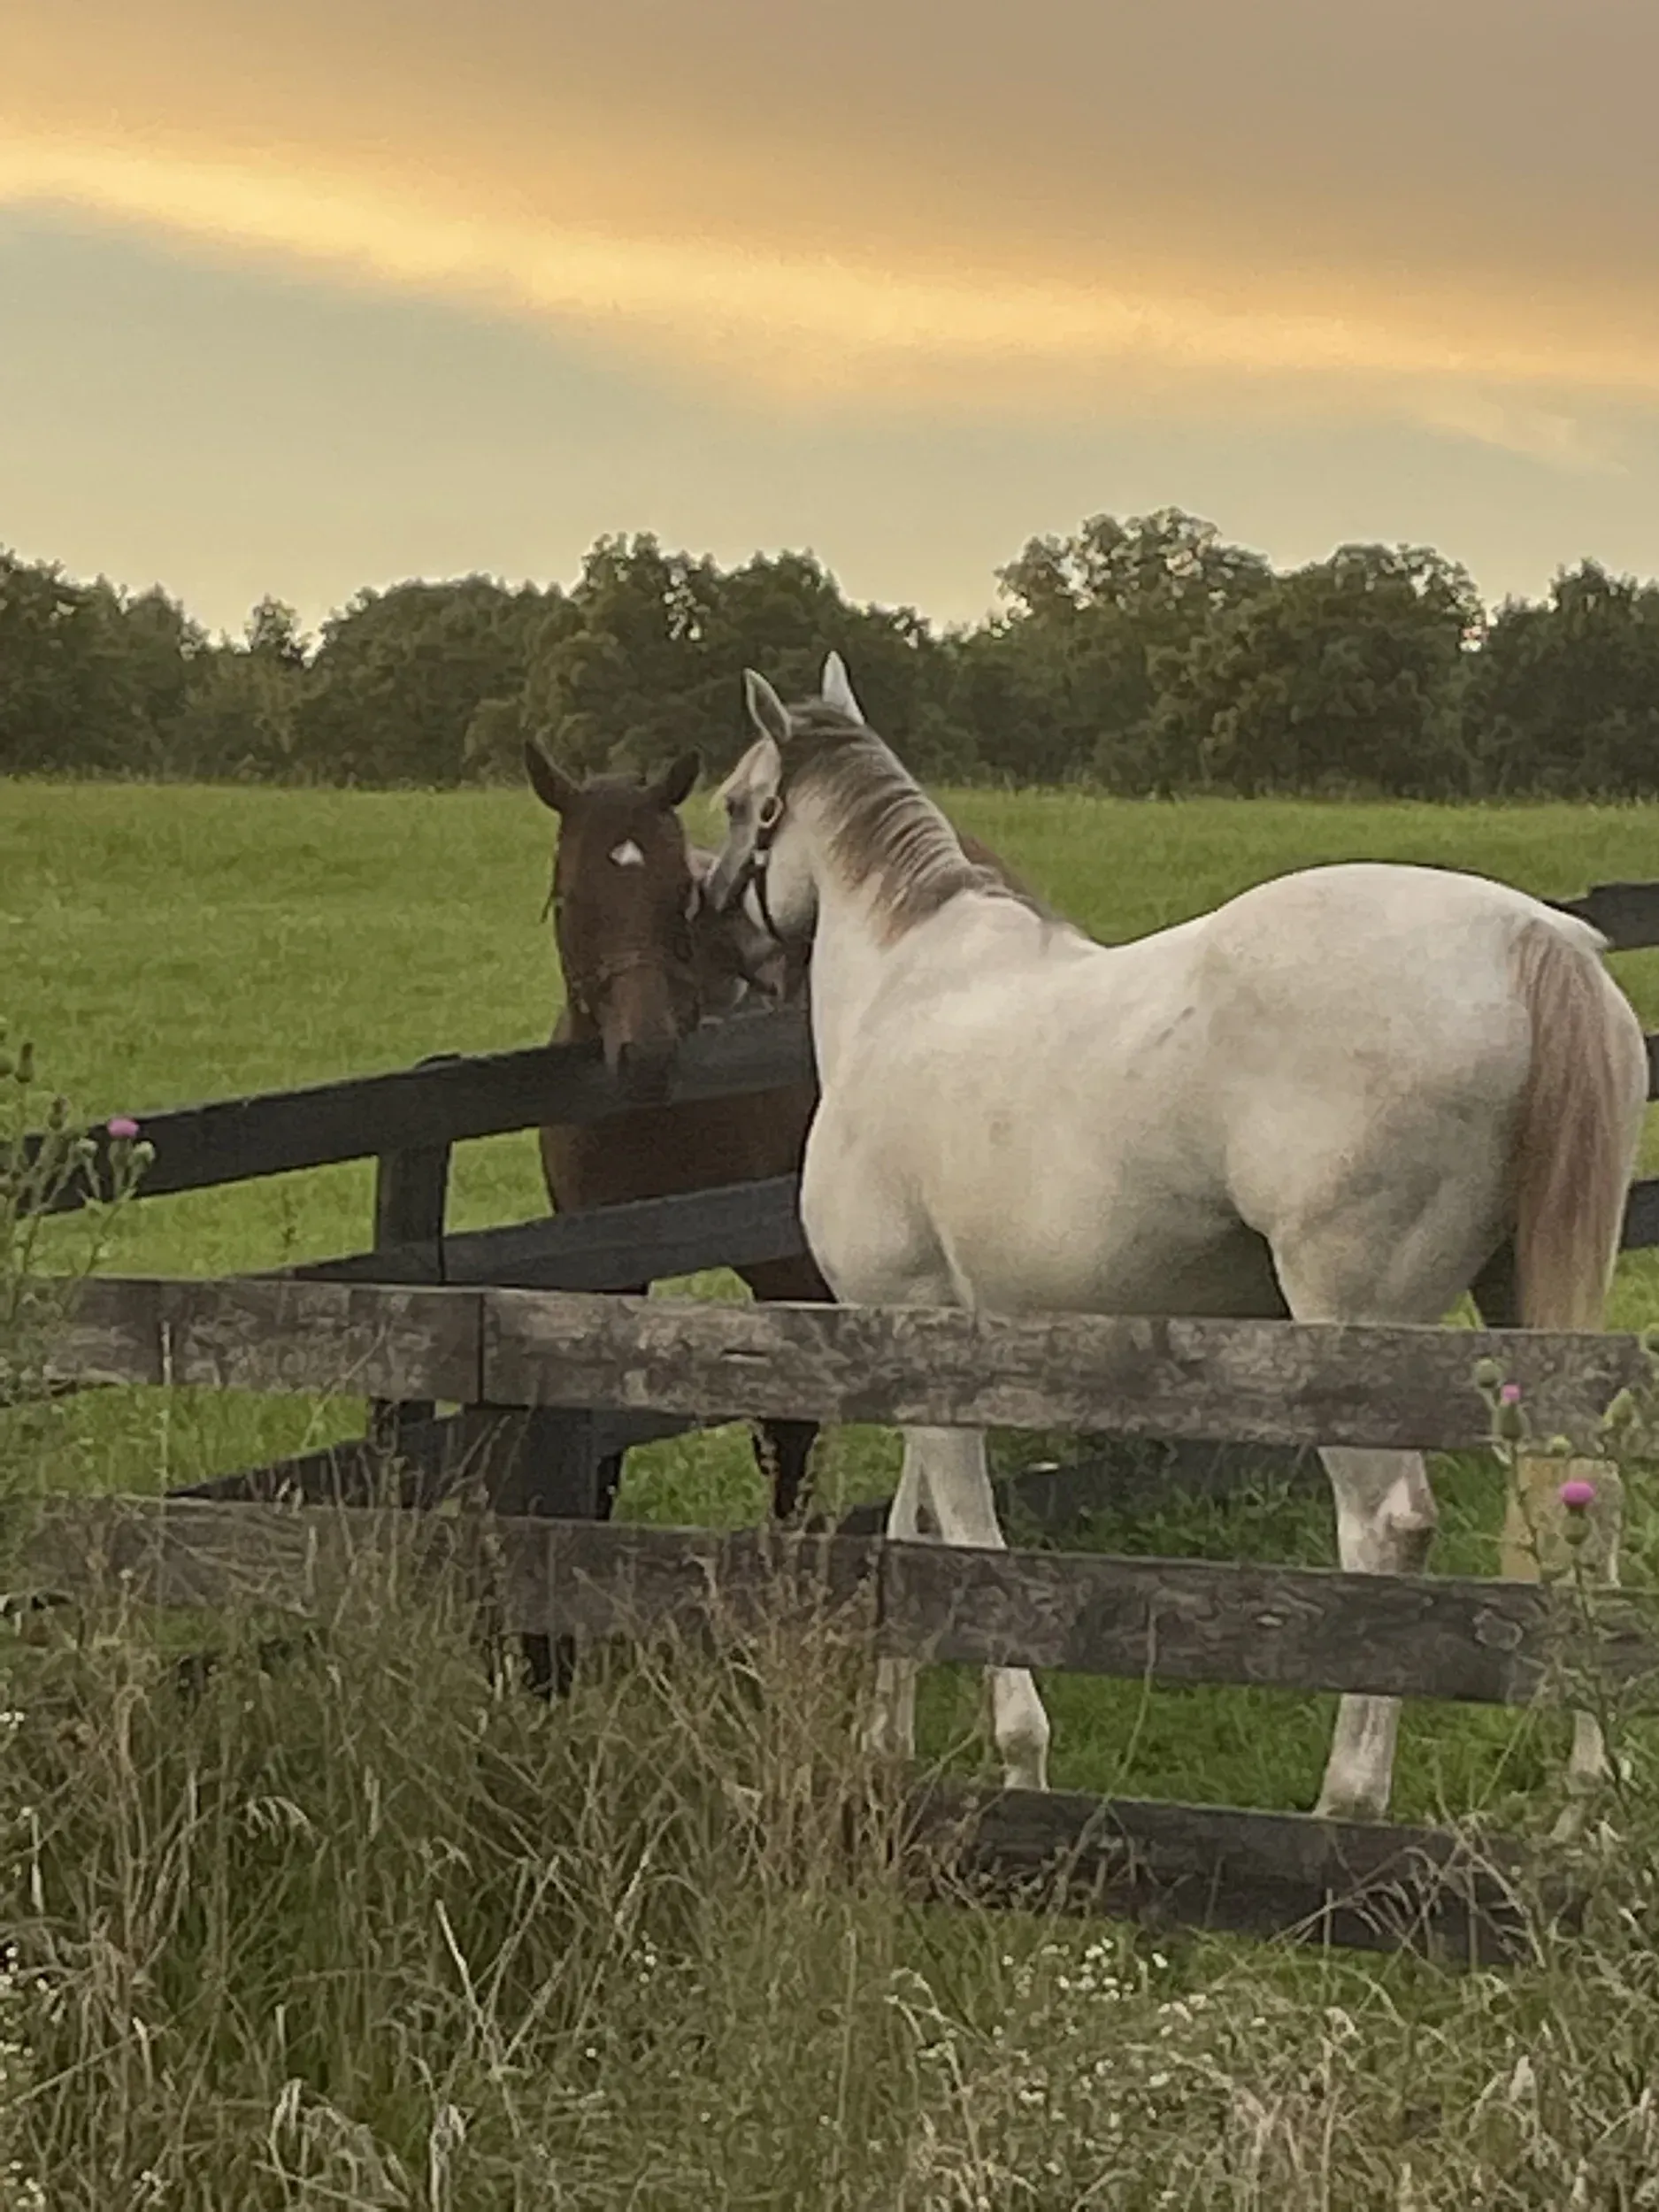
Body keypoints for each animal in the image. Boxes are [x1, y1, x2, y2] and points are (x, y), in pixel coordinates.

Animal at [703, 651, 1648, 1824]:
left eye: (738, 805)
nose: (714, 934)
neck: (903, 991)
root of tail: (1529, 941)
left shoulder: (913, 1326)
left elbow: (965, 1539)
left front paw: (1019, 1757)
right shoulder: (924, 1342)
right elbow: (912, 1536)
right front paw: (888, 1746)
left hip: (1353, 1332)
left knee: (1389, 1523)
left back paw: (1348, 1799)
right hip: (1529, 1307)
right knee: (1582, 1498)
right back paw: (1585, 1804)